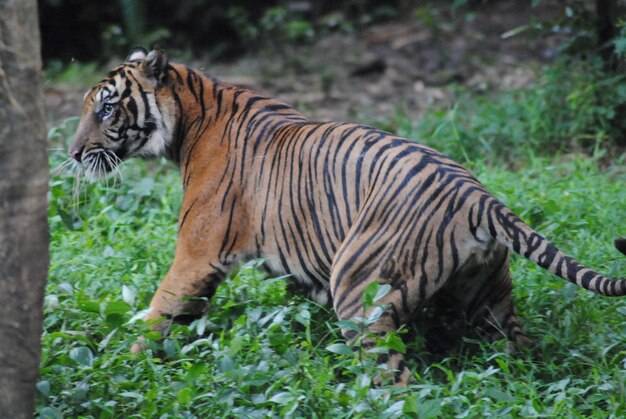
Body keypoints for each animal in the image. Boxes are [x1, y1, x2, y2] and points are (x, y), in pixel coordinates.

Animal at [69, 48, 624, 388]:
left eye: (107, 109)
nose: (73, 154)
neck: (190, 117)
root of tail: (475, 195)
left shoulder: (197, 253)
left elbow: (159, 312)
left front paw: (125, 365)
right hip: (488, 301)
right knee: (518, 351)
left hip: (361, 292)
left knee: (397, 383)